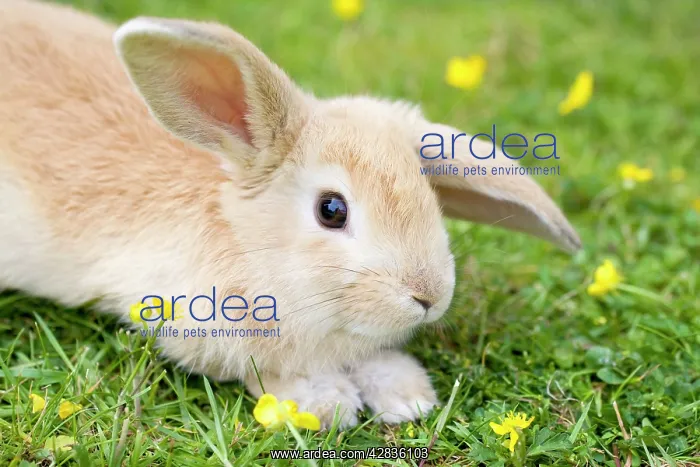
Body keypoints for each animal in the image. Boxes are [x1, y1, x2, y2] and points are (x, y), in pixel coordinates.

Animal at [0, 0, 581, 428]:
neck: (248, 242)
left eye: (429, 198)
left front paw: (407, 397)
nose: (429, 297)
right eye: (331, 210)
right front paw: (331, 405)